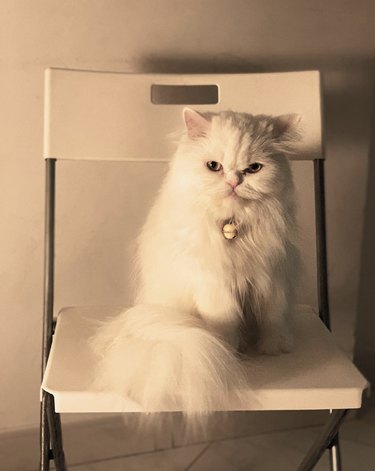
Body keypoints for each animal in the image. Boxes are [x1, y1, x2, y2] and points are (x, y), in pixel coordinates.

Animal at [92, 108, 302, 416]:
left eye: (253, 168)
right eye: (214, 166)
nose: (233, 182)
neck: (232, 225)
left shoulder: (271, 278)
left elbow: (271, 318)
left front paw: (273, 348)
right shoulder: (214, 285)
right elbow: (226, 323)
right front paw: (229, 353)